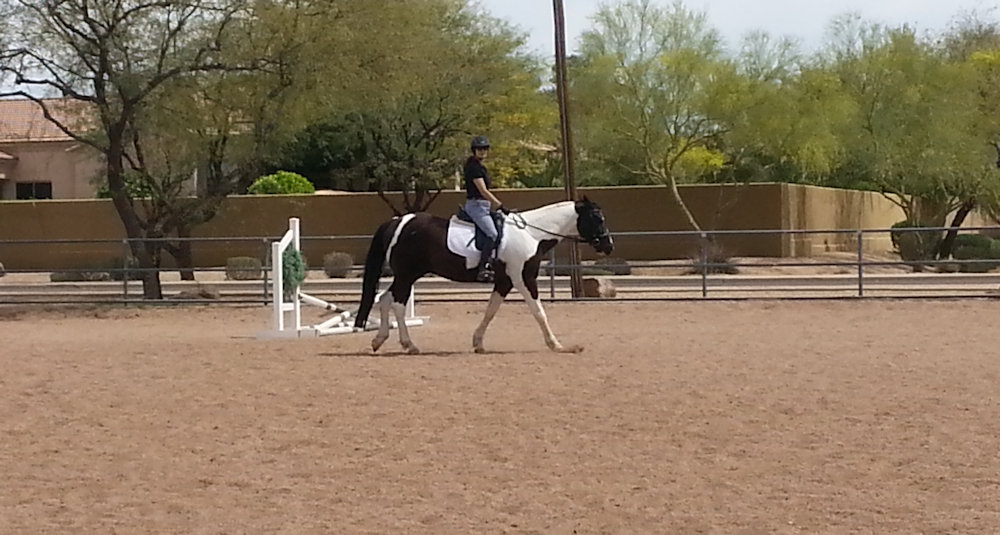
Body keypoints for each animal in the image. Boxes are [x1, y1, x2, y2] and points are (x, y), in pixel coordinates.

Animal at [353, 196, 614, 354]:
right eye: (597, 218)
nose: (608, 245)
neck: (531, 234)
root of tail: (398, 221)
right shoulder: (523, 278)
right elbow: (539, 312)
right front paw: (557, 345)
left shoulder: (504, 281)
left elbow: (491, 310)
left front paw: (478, 343)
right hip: (407, 275)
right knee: (397, 303)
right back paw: (409, 345)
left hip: (406, 275)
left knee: (384, 299)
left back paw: (379, 340)